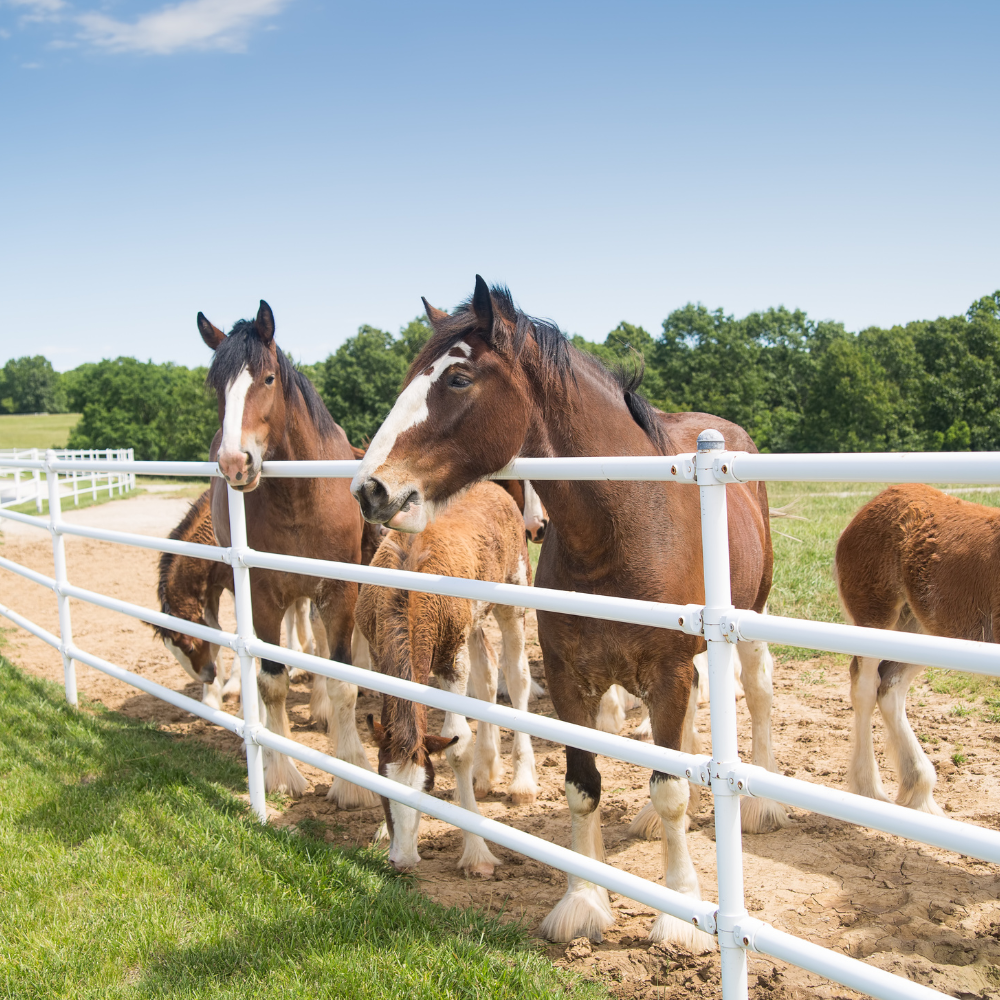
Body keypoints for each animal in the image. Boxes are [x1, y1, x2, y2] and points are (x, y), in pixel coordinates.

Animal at [198, 300, 376, 808]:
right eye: (216, 387)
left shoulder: (338, 590)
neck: (300, 497)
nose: (235, 462)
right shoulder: (262, 595)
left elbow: (341, 679)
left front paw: (352, 777)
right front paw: (279, 773)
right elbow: (271, 681)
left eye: (268, 378)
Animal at [356, 484, 536, 876]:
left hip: (513, 598)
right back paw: (486, 773)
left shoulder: (453, 662)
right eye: (382, 788)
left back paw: (522, 782)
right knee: (487, 674)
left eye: (428, 787)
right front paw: (382, 831)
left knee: (517, 678)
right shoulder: (379, 660)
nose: (404, 860)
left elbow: (458, 744)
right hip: (476, 621)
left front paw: (477, 852)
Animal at [836, 480, 1000, 816]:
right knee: (865, 685)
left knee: (890, 686)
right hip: (876, 617)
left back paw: (918, 791)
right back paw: (869, 789)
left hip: (922, 630)